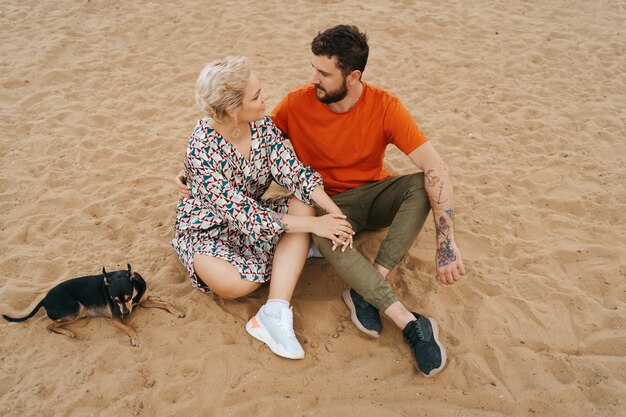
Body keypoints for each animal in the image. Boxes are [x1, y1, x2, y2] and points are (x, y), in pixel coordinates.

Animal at [1, 264, 183, 346]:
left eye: (128, 297)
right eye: (115, 301)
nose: (125, 314)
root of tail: (44, 299)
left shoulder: (144, 301)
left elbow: (166, 303)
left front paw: (178, 312)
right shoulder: (115, 318)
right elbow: (130, 327)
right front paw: (135, 338)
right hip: (76, 309)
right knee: (49, 325)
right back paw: (69, 333)